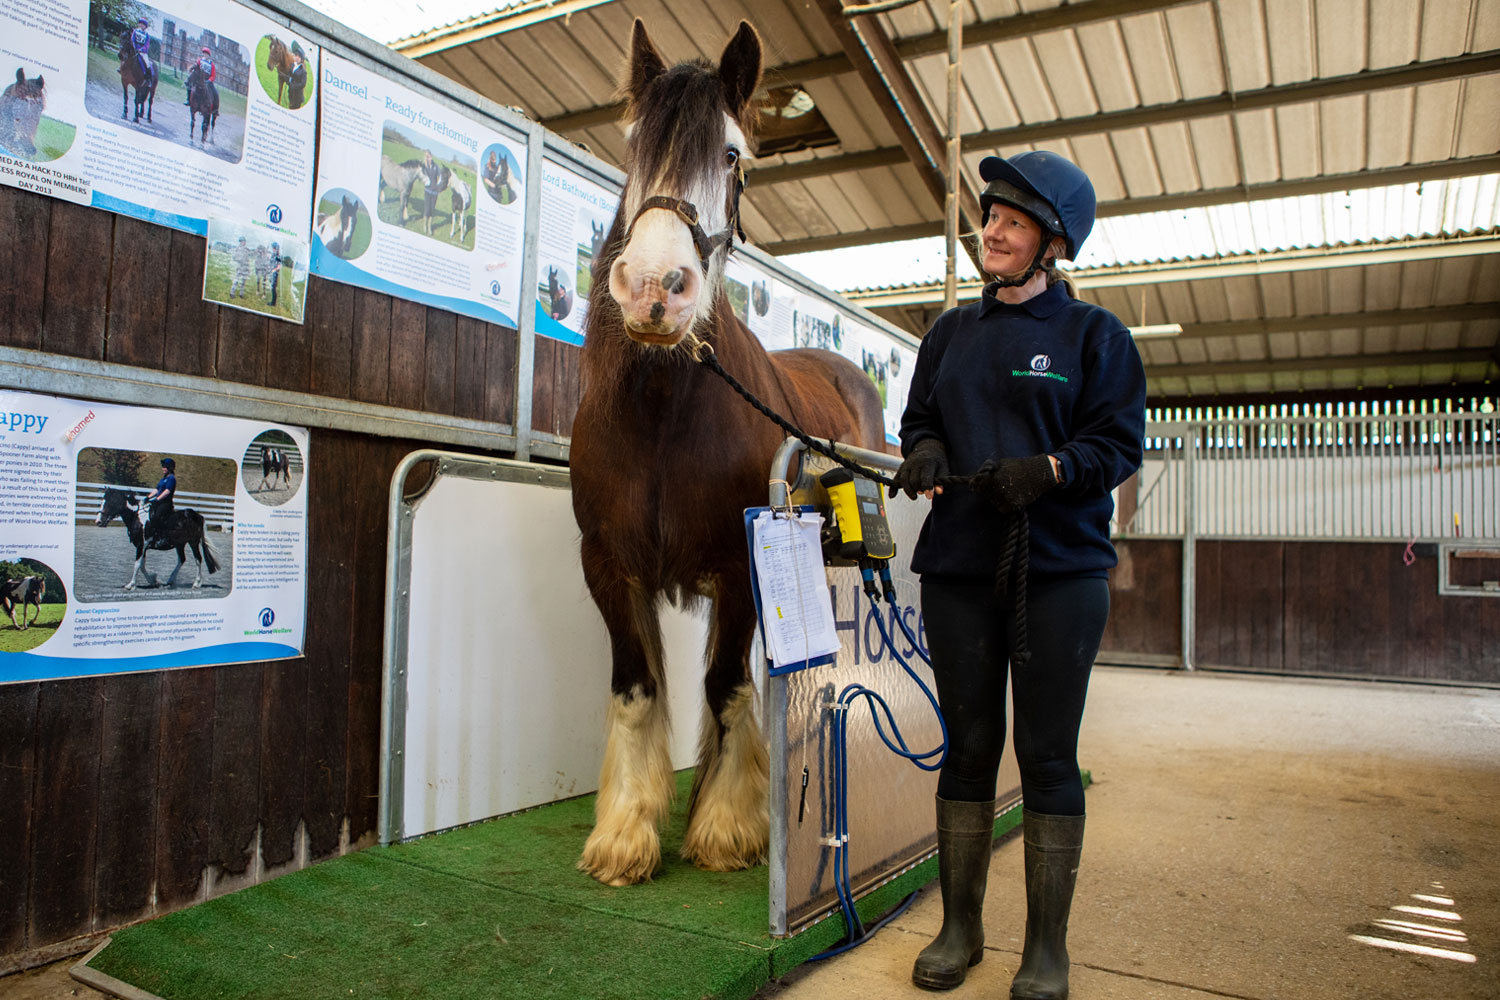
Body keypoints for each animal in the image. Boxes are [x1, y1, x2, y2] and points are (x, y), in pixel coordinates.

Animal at [570, 19, 876, 887]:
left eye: (733, 154)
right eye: (633, 144)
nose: (652, 289)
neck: (663, 415)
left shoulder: (745, 566)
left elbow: (729, 685)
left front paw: (727, 827)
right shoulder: (607, 564)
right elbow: (638, 686)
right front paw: (626, 833)